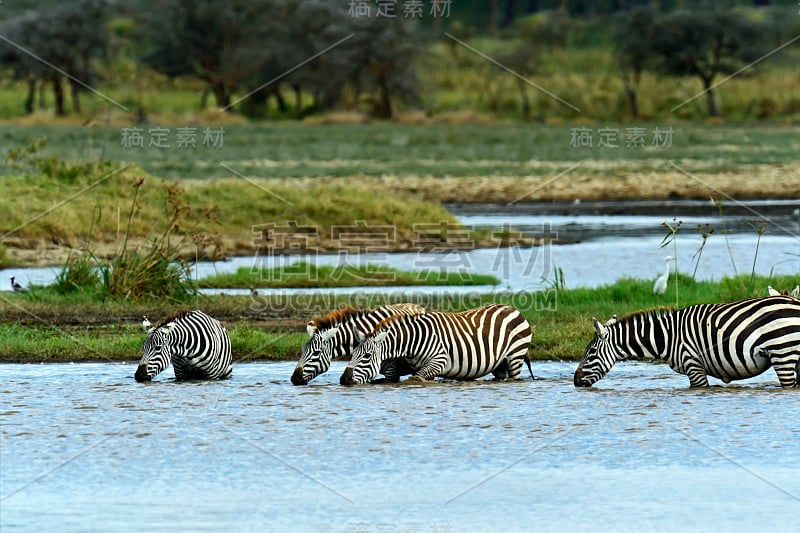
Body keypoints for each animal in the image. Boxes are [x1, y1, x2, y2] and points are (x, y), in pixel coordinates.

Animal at [338, 304, 532, 386]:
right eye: (352, 355)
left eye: (366, 356)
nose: (343, 380)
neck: (414, 340)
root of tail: (512, 308)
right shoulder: (422, 367)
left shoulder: (439, 361)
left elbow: (415, 378)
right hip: (500, 364)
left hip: (515, 356)